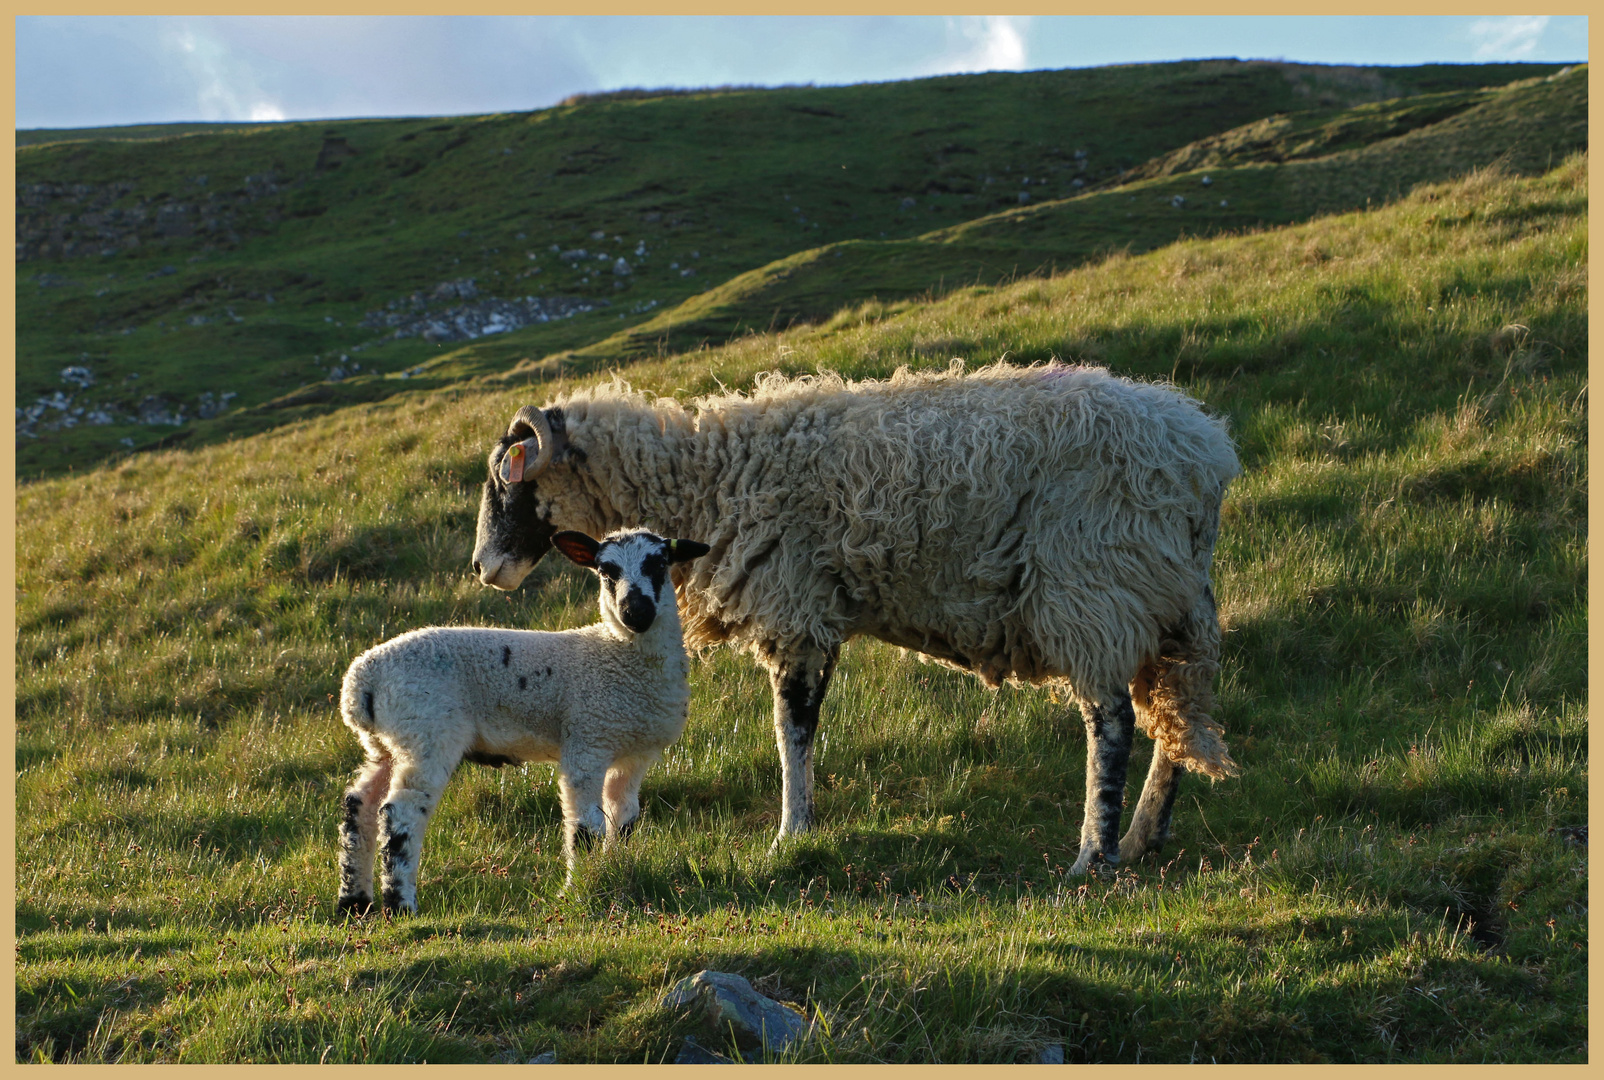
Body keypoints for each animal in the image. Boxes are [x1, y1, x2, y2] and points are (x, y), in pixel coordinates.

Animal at [336, 523, 708, 911]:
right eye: (606, 571)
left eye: (660, 564)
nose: (636, 613)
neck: (617, 654)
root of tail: (362, 681)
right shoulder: (586, 741)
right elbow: (587, 827)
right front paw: (576, 891)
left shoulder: (634, 755)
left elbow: (624, 820)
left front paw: (614, 871)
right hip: (426, 732)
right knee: (400, 813)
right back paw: (400, 904)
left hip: (386, 744)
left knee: (359, 805)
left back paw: (354, 901)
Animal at [468, 357, 1244, 872]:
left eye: (508, 482)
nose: (483, 569)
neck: (706, 476)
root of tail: (1202, 457)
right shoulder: (818, 614)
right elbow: (803, 725)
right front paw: (801, 826)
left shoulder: (794, 606)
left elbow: (792, 728)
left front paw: (790, 832)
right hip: (1162, 602)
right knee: (1173, 723)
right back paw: (1144, 838)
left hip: (1091, 586)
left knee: (1111, 721)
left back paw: (1095, 853)